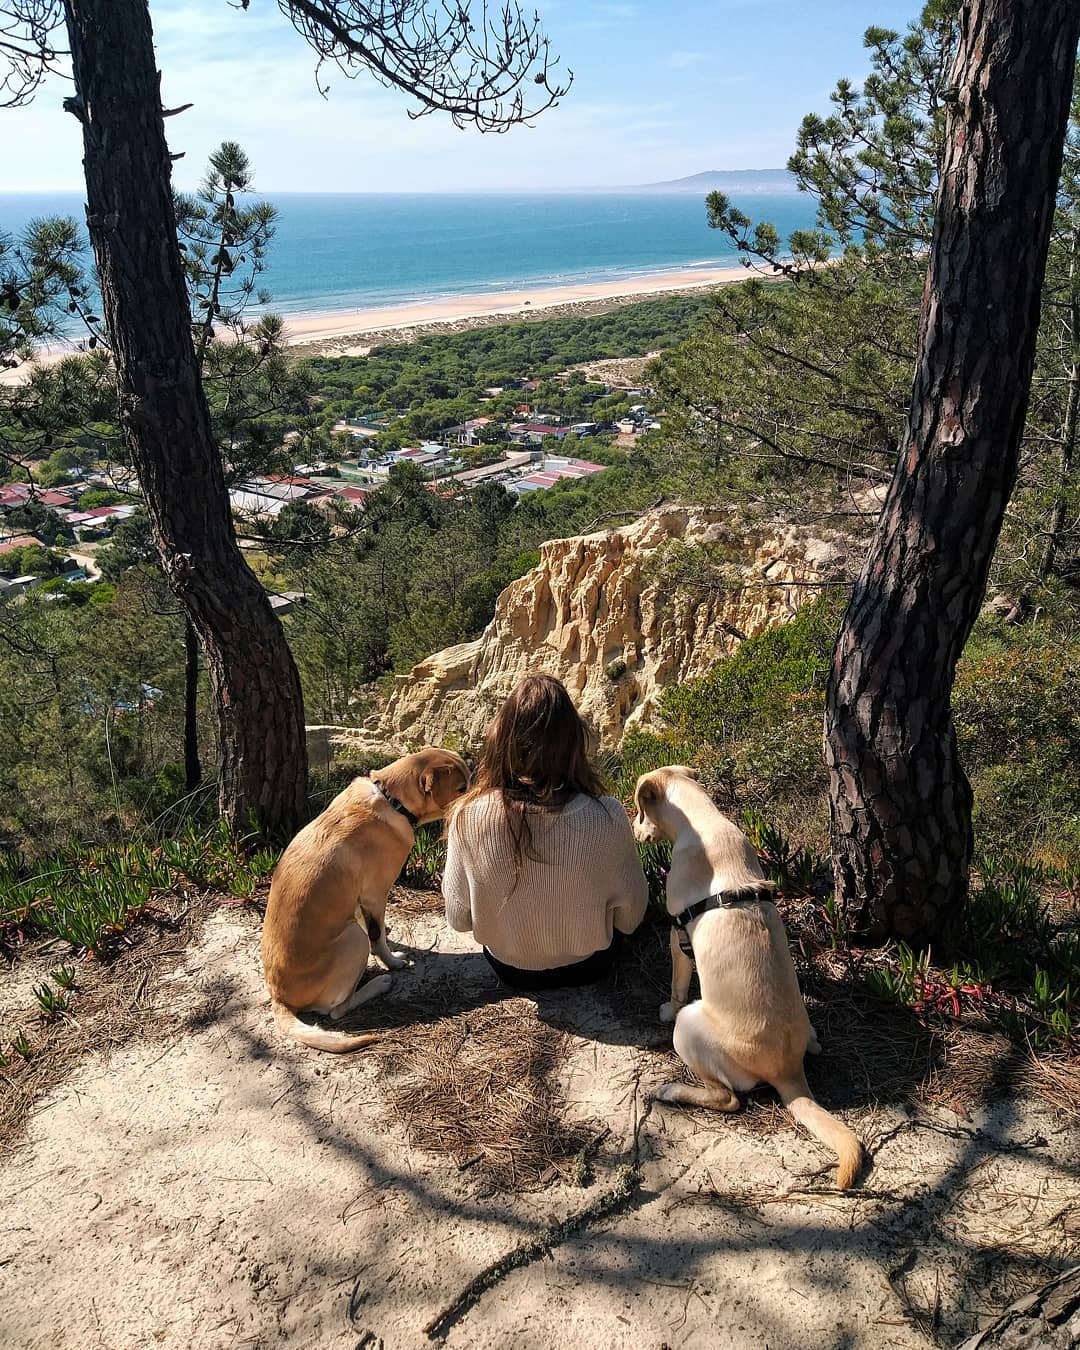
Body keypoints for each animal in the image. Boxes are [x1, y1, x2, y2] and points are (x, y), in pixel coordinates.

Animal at [263, 750, 467, 1053]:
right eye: (461, 789)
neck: (393, 801)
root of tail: (279, 998)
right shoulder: (375, 895)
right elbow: (378, 936)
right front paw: (392, 962)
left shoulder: (361, 901)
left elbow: (378, 930)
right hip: (353, 938)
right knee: (336, 1010)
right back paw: (380, 983)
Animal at [631, 766, 858, 1188]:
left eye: (639, 811)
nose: (634, 830)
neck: (705, 820)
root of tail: (788, 1073)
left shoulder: (676, 933)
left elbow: (676, 984)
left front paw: (667, 1006)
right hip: (805, 1032)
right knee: (814, 1047)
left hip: (690, 1027)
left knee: (728, 1098)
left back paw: (672, 1090)